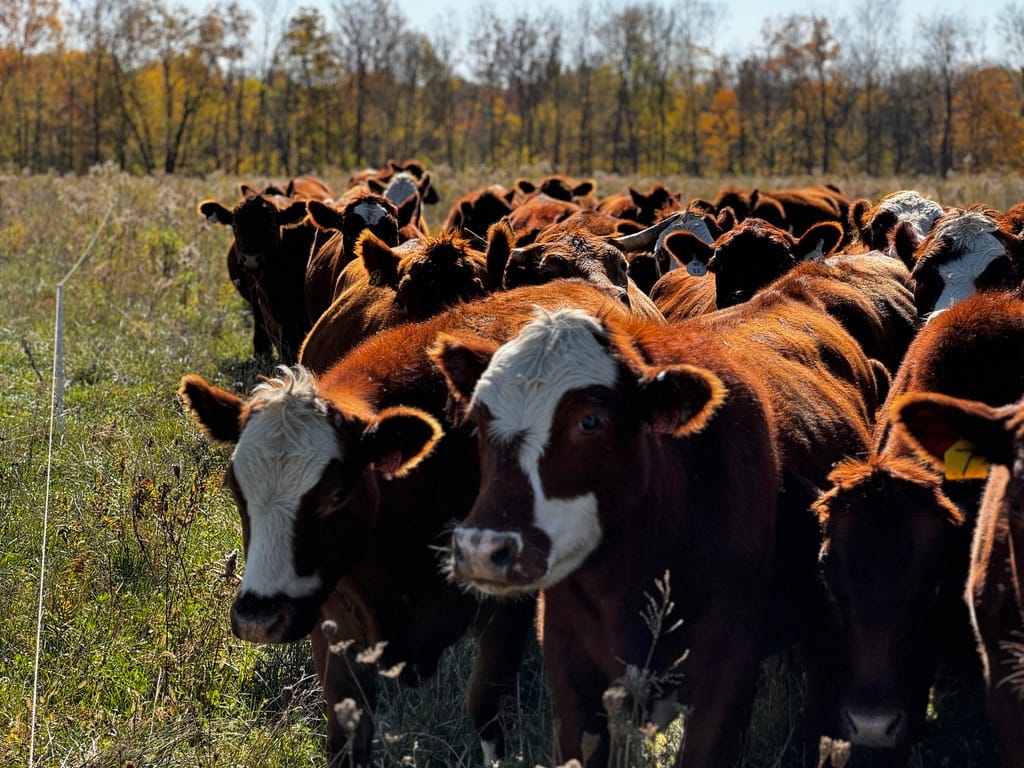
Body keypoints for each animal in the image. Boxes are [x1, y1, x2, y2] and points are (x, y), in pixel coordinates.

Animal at [179, 278, 646, 768]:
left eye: (337, 493)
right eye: (235, 486)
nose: (260, 616)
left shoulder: (505, 610)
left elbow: (487, 710)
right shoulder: (333, 621)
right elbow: (347, 734)